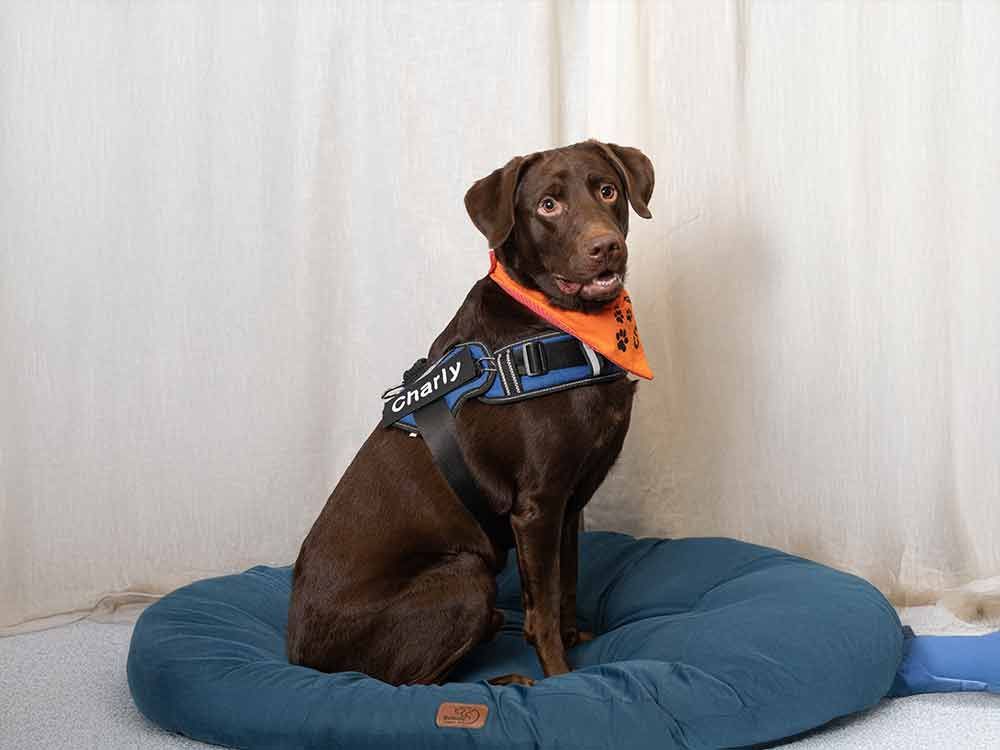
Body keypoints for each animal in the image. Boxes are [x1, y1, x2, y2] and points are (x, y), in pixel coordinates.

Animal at [286, 141, 652, 688]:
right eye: (548, 206)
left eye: (607, 190)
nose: (605, 247)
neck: (566, 326)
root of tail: (297, 656)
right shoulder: (537, 506)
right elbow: (544, 605)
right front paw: (560, 676)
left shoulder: (569, 502)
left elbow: (565, 583)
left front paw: (573, 640)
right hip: (464, 576)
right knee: (403, 685)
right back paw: (506, 680)